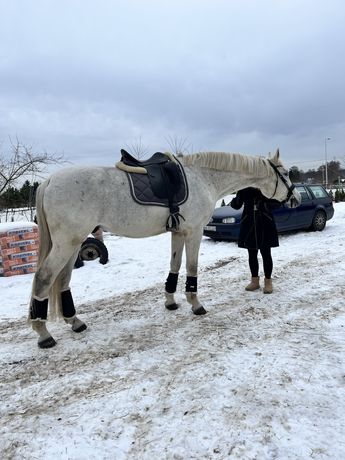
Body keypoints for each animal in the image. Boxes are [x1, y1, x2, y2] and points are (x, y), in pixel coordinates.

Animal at [28, 149, 298, 346]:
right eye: (285, 173)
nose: (295, 200)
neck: (203, 177)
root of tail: (49, 181)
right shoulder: (193, 232)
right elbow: (191, 268)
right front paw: (196, 304)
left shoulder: (178, 232)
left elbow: (174, 266)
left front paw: (171, 302)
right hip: (67, 244)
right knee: (44, 277)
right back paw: (43, 334)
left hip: (73, 245)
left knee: (62, 280)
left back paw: (75, 322)